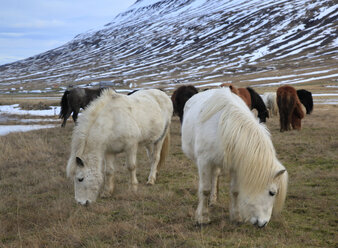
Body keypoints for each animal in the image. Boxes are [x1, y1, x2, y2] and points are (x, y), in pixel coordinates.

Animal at [182, 88, 288, 228]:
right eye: (272, 192)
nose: (264, 223)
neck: (225, 129)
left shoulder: (236, 165)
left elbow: (235, 191)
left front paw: (236, 217)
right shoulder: (204, 162)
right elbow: (205, 189)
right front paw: (203, 218)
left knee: (215, 176)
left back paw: (213, 200)